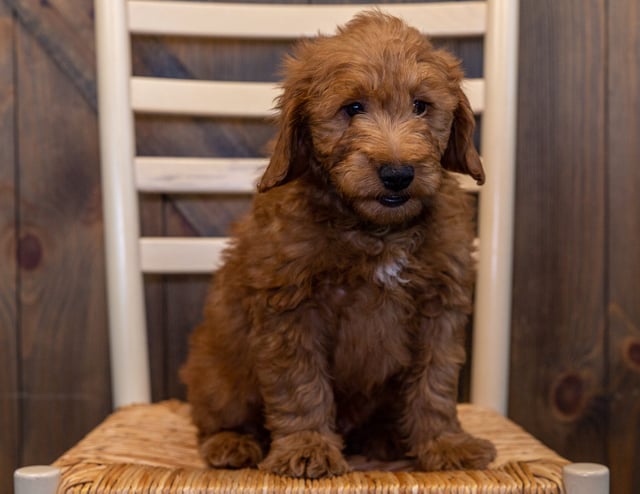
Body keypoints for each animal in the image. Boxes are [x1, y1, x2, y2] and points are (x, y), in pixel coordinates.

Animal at [180, 11, 496, 478]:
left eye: (421, 106)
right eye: (353, 108)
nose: (398, 173)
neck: (376, 231)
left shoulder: (440, 306)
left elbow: (435, 382)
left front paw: (445, 442)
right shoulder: (291, 307)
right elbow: (300, 385)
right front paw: (307, 447)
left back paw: (387, 439)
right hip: (218, 371)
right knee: (217, 414)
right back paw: (232, 442)